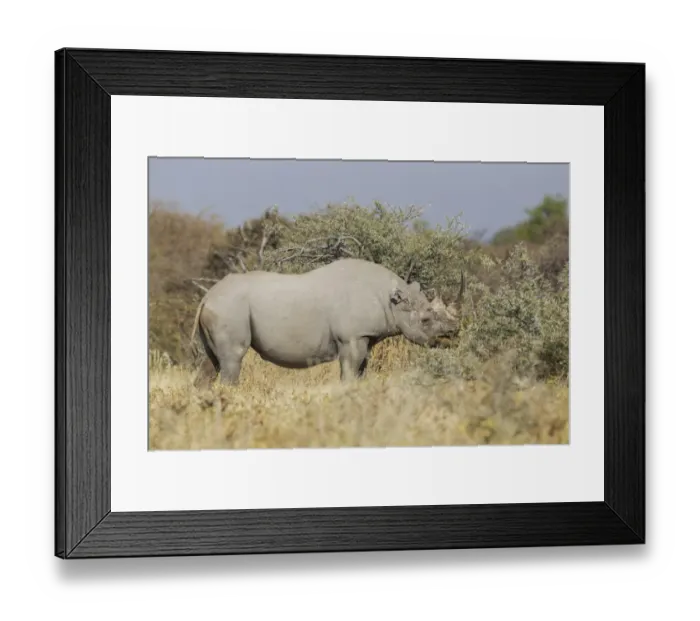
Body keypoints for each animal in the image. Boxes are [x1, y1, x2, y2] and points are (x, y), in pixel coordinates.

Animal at [190, 257, 464, 386]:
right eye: (426, 320)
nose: (452, 336)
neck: (391, 299)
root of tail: (207, 296)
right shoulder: (352, 337)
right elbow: (349, 373)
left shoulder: (366, 336)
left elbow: (361, 373)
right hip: (229, 309)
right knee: (232, 359)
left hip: (221, 308)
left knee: (212, 362)